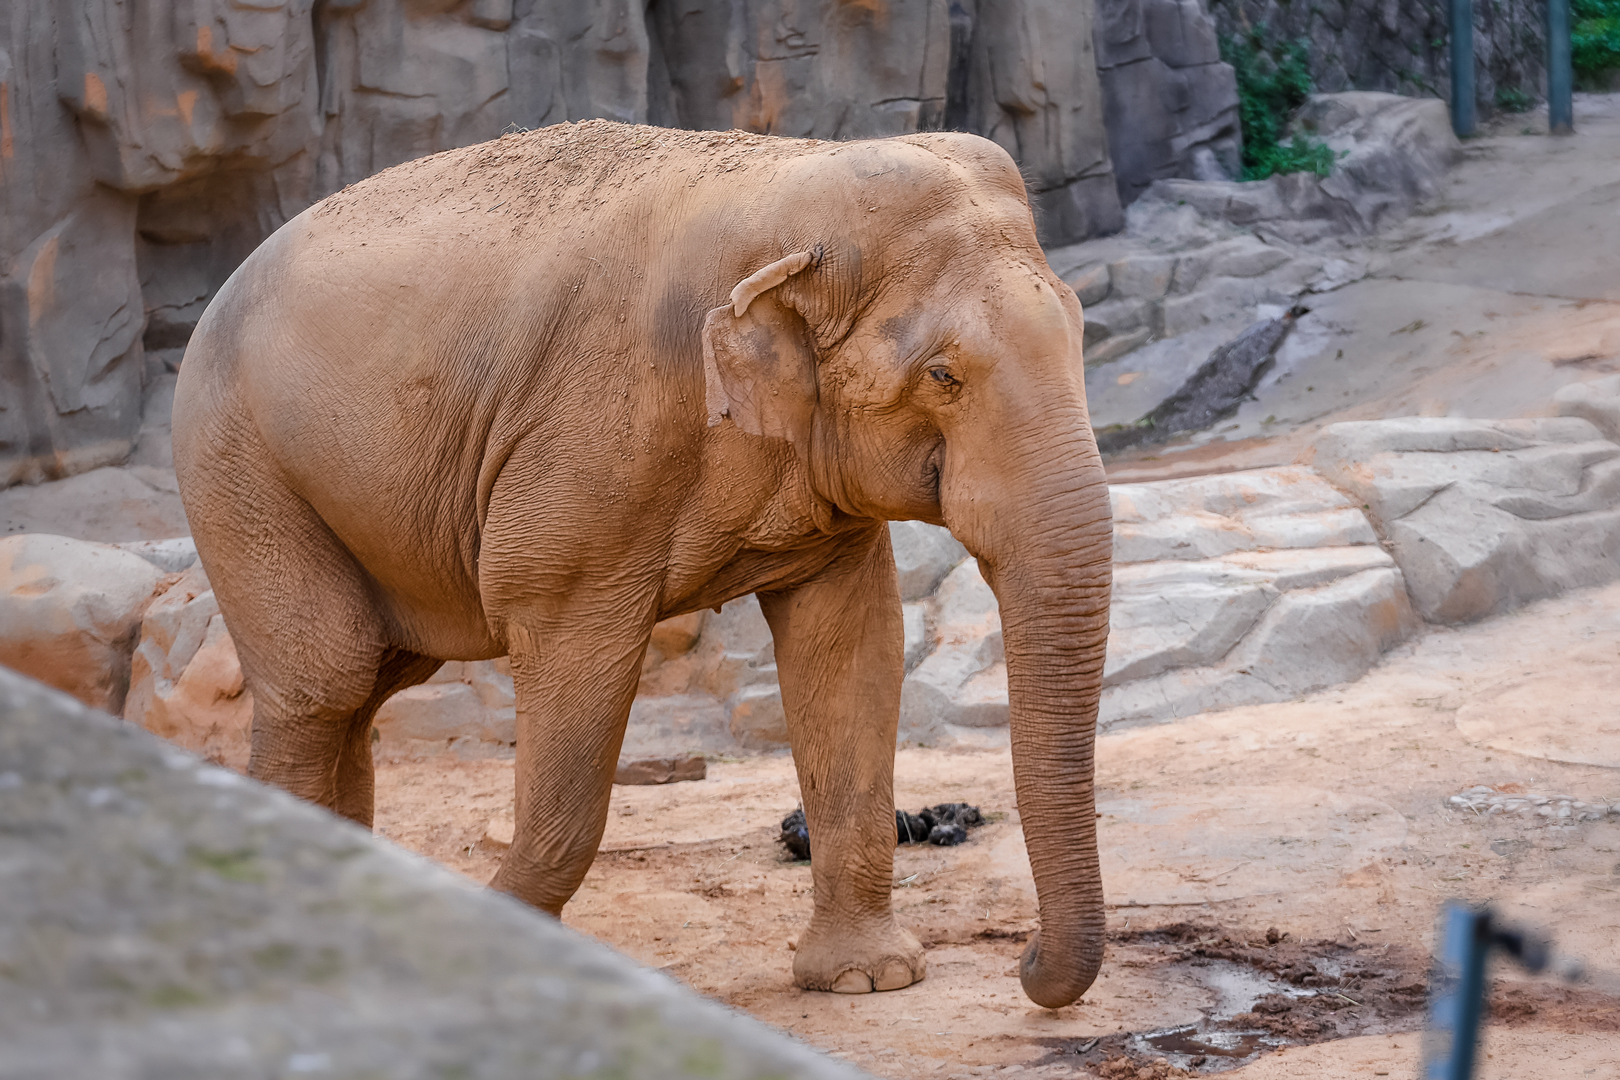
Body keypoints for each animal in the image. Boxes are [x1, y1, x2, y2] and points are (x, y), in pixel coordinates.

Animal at [171, 120, 1113, 1008]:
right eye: (943, 375)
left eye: (1078, 334)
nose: (1027, 964)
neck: (789, 179)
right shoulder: (581, 450)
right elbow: (568, 659)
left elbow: (850, 645)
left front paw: (866, 980)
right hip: (238, 466)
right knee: (324, 682)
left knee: (366, 687)